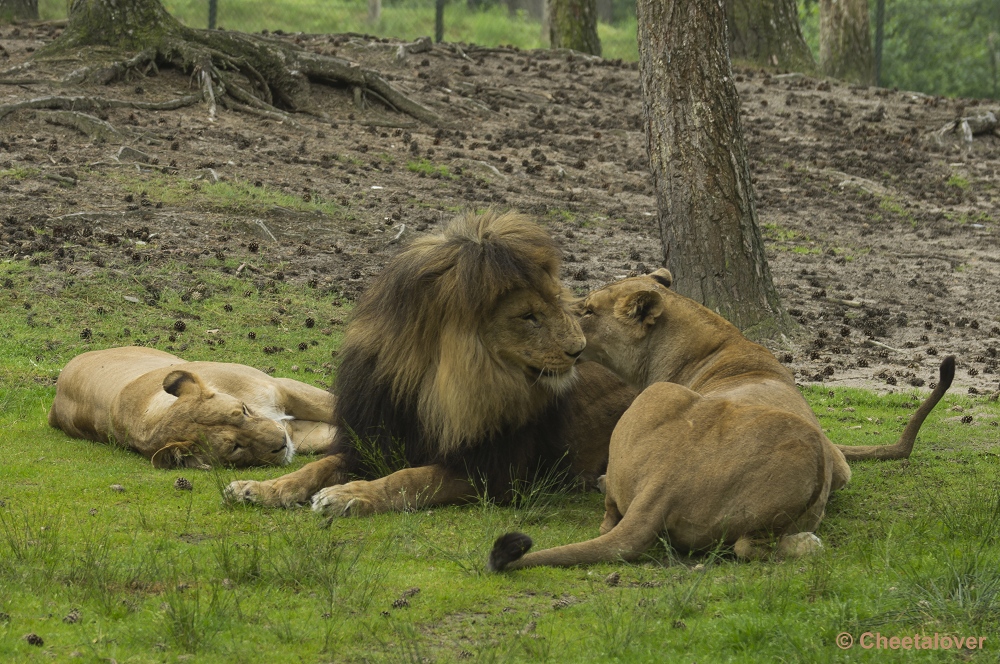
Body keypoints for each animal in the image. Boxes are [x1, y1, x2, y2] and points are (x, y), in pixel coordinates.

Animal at [226, 211, 632, 512]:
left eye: (557, 301)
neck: (429, 387)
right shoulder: (370, 441)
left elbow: (409, 478)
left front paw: (350, 495)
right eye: (529, 316)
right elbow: (317, 465)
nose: (578, 350)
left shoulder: (491, 473)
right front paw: (261, 487)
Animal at [488, 270, 956, 572]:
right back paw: (808, 543)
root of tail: (664, 484)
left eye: (586, 310)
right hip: (805, 447)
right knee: (747, 547)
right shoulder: (838, 465)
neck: (718, 345)